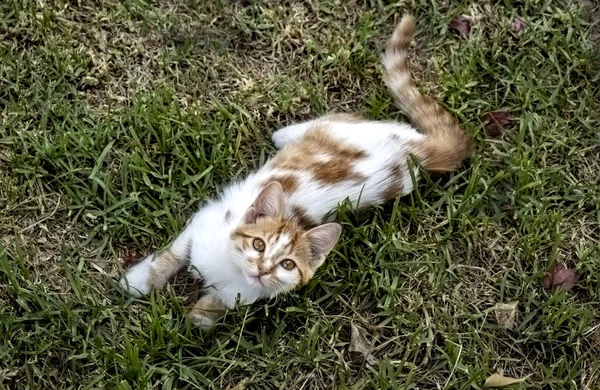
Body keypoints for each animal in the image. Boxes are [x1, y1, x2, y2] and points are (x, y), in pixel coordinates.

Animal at [118, 13, 474, 328]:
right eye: (259, 245)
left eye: (287, 264)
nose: (263, 268)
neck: (229, 268)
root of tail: (418, 150)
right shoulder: (207, 221)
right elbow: (174, 253)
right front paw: (139, 280)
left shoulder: (246, 293)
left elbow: (217, 307)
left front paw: (201, 316)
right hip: (348, 128)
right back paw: (286, 133)